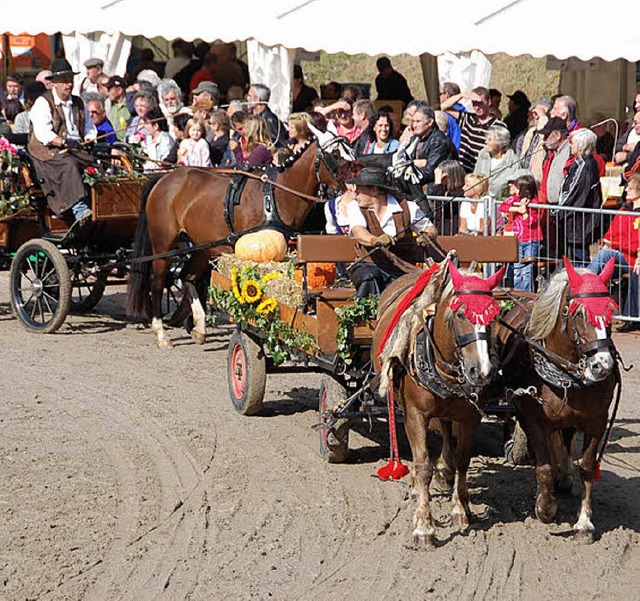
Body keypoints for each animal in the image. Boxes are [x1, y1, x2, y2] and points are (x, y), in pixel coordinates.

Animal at [126, 139, 344, 346]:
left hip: (203, 247)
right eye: (334, 156)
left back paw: (199, 326)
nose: (343, 190)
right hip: (163, 244)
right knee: (158, 281)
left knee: (187, 276)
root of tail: (164, 178)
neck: (276, 195)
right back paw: (161, 333)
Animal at [376, 258, 504, 544]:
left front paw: (460, 509)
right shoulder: (416, 414)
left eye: (493, 317)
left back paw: (446, 472)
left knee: (446, 428)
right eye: (461, 314)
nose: (481, 371)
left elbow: (463, 459)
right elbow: (423, 464)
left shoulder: (470, 416)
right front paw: (424, 525)